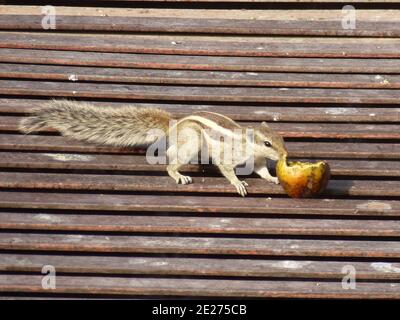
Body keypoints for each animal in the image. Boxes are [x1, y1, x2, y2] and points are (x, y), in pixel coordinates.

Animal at [19, 100, 288, 196]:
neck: (248, 145)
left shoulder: (259, 161)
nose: (285, 154)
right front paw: (238, 183)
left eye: (281, 139)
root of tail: (174, 126)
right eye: (267, 143)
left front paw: (273, 178)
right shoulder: (228, 155)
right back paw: (178, 174)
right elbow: (228, 169)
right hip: (192, 141)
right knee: (170, 161)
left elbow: (263, 171)